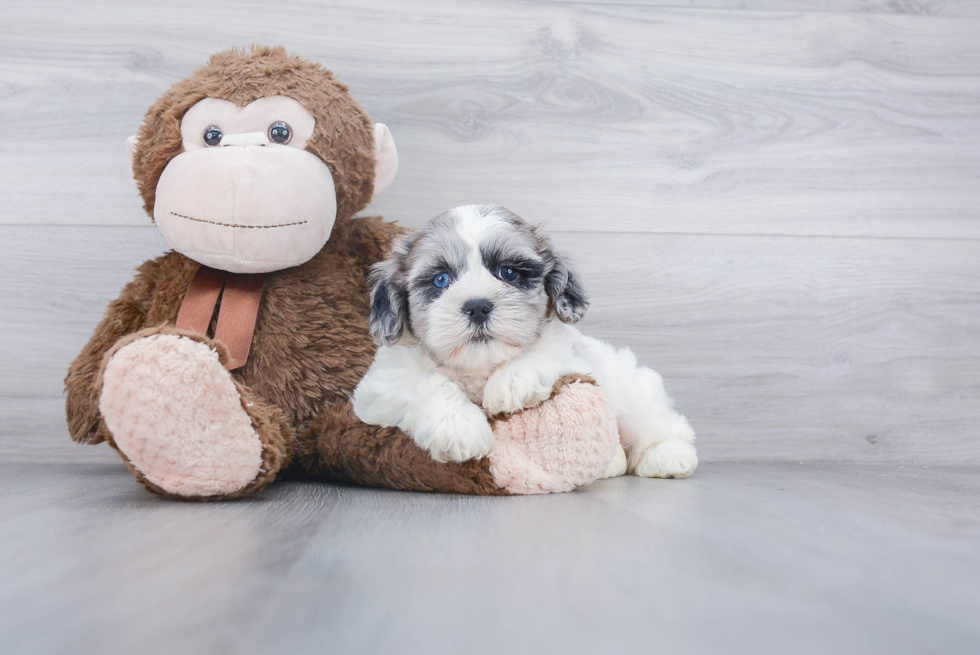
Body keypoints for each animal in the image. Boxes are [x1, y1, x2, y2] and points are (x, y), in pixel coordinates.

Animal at [352, 208, 696, 480]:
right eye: (441, 279)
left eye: (508, 272)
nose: (477, 306)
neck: (479, 367)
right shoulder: (381, 384)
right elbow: (424, 383)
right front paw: (459, 427)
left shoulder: (572, 354)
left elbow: (547, 352)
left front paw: (511, 382)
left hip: (632, 391)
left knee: (661, 424)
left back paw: (668, 456)